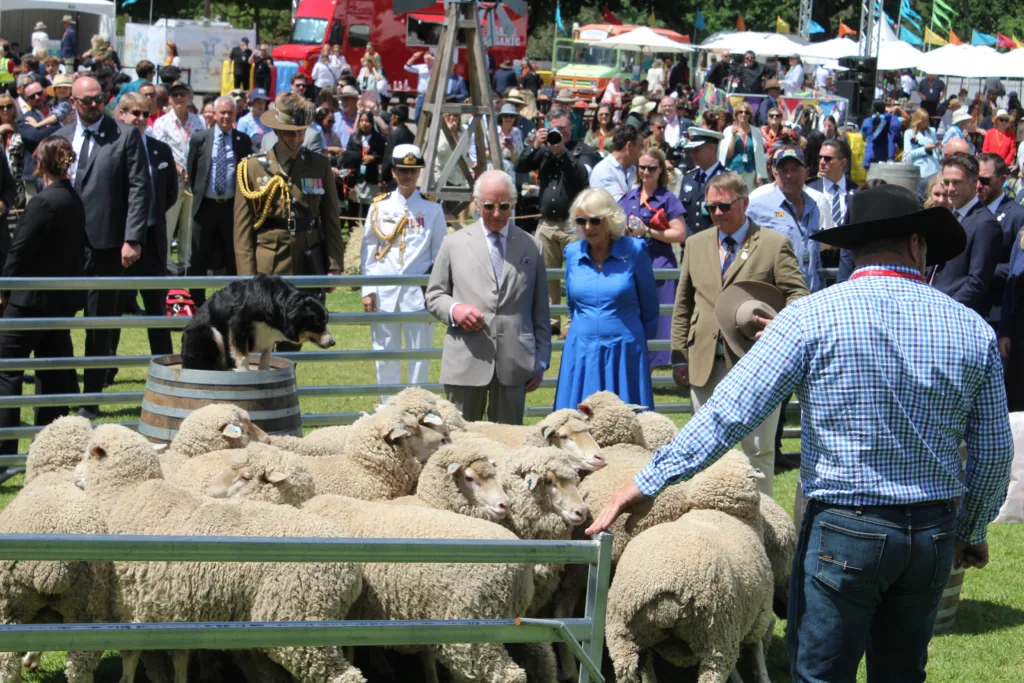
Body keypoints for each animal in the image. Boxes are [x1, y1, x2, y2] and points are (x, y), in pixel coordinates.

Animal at [82, 423, 368, 683]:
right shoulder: (176, 606)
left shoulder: (131, 603)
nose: (77, 478)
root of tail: (352, 571)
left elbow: (130, 656)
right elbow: (180, 656)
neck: (124, 494)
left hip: (298, 615)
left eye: (87, 454)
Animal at [178, 274, 333, 370]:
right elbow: (243, 357)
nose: (333, 342)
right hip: (207, 332)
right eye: (318, 322)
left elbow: (266, 358)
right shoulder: (238, 324)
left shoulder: (268, 335)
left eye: (325, 321)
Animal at [602, 454, 770, 683]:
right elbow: (757, 650)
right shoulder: (759, 614)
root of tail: (663, 588)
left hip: (622, 637)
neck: (717, 510)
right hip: (717, 638)